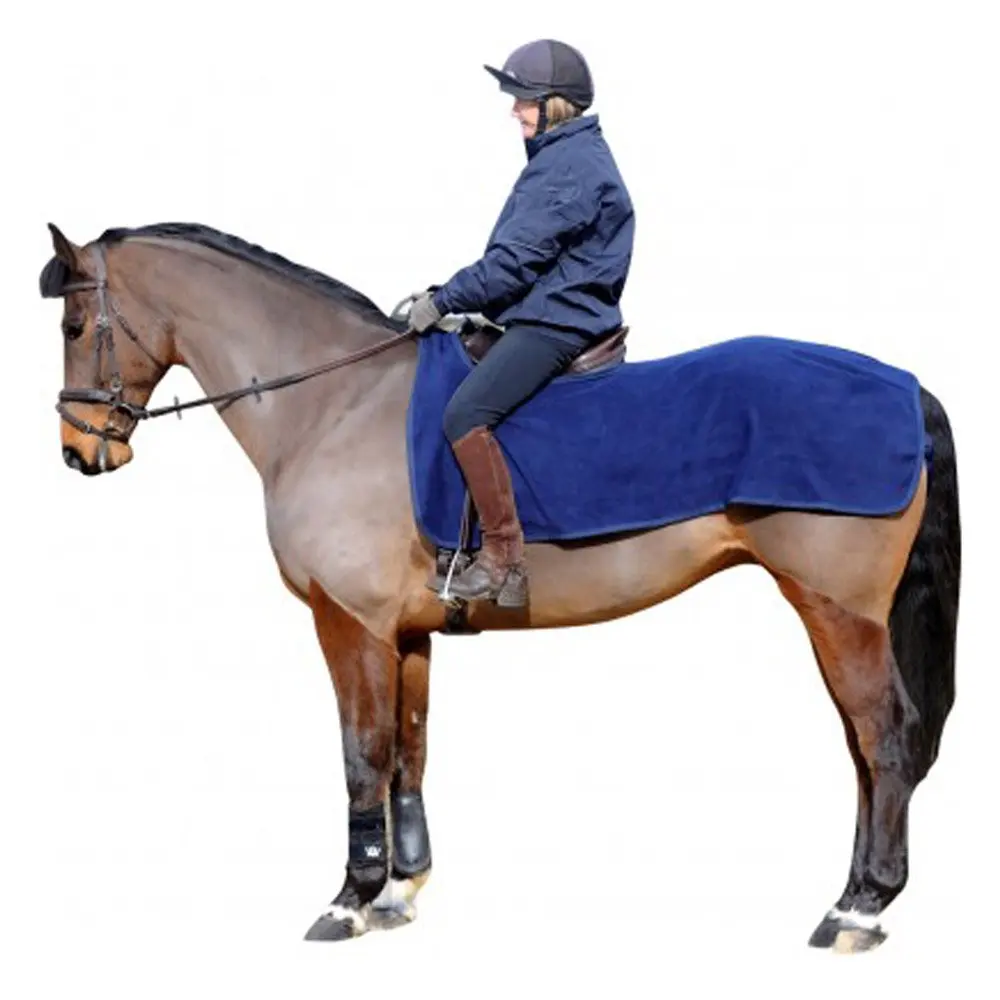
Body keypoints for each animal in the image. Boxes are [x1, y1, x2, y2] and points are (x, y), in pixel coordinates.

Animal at [38, 220, 961, 953]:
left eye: (78, 324)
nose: (80, 451)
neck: (335, 404)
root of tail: (903, 386)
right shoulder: (406, 634)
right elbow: (408, 749)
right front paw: (400, 890)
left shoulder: (350, 623)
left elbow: (360, 753)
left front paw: (349, 899)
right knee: (864, 751)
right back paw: (857, 894)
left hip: (839, 612)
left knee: (884, 738)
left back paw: (859, 910)